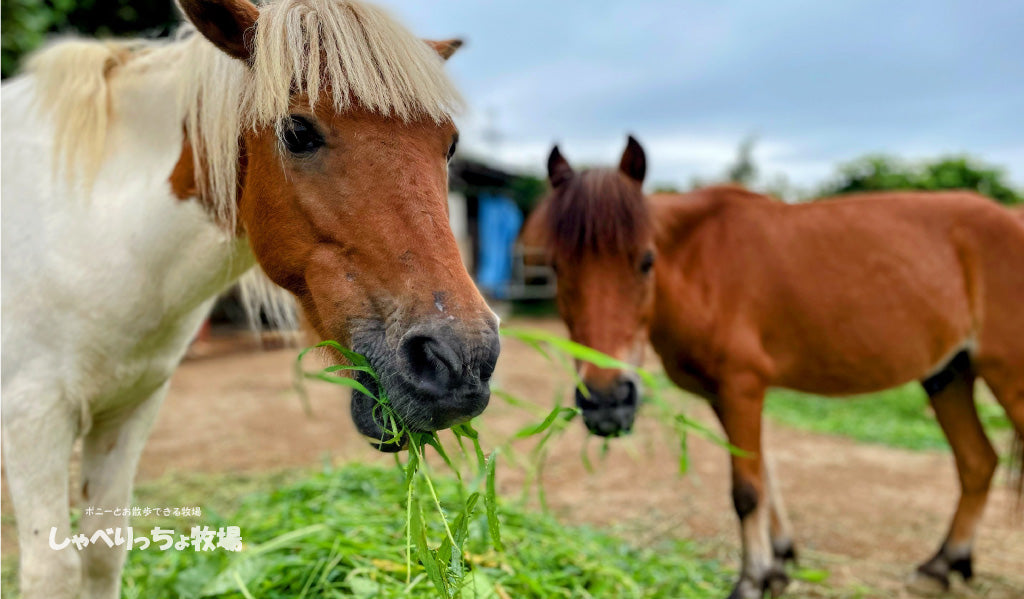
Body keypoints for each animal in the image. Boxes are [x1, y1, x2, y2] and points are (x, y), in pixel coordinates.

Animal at [0, 2, 495, 593]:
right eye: (297, 131)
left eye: (449, 144)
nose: (461, 360)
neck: (87, 223)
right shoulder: (33, 418)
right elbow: (52, 571)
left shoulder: (129, 410)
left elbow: (103, 550)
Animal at [532, 136, 1024, 597]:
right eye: (557, 267)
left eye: (646, 261)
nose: (606, 403)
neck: (700, 264)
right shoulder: (722, 396)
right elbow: (764, 476)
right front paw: (779, 564)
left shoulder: (742, 387)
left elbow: (748, 491)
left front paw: (752, 579)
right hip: (949, 375)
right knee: (977, 462)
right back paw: (942, 565)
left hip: (1006, 376)